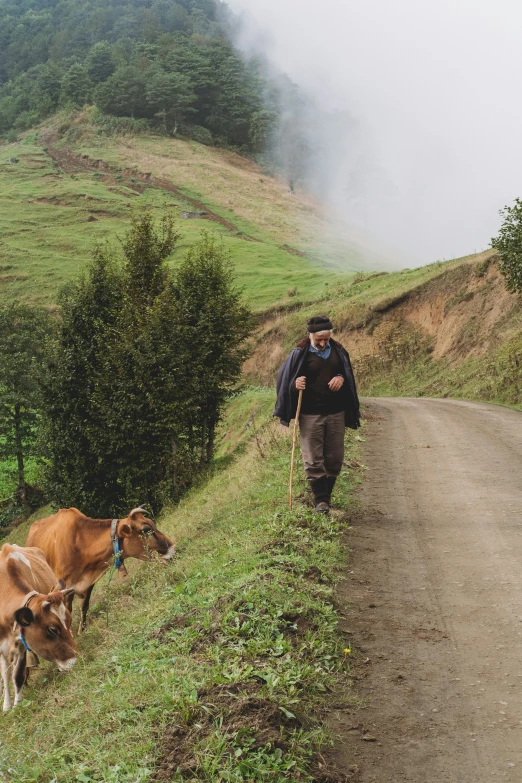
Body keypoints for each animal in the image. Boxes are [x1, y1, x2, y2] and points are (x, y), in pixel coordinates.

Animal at [0, 544, 77, 712]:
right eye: (52, 630)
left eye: (69, 621)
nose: (74, 662)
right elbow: (5, 675)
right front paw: (7, 705)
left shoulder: (22, 642)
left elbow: (17, 675)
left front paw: (18, 704)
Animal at [25, 508, 175, 636]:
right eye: (146, 530)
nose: (172, 547)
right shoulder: (63, 587)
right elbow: (65, 611)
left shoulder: (89, 582)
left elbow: (84, 606)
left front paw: (82, 630)